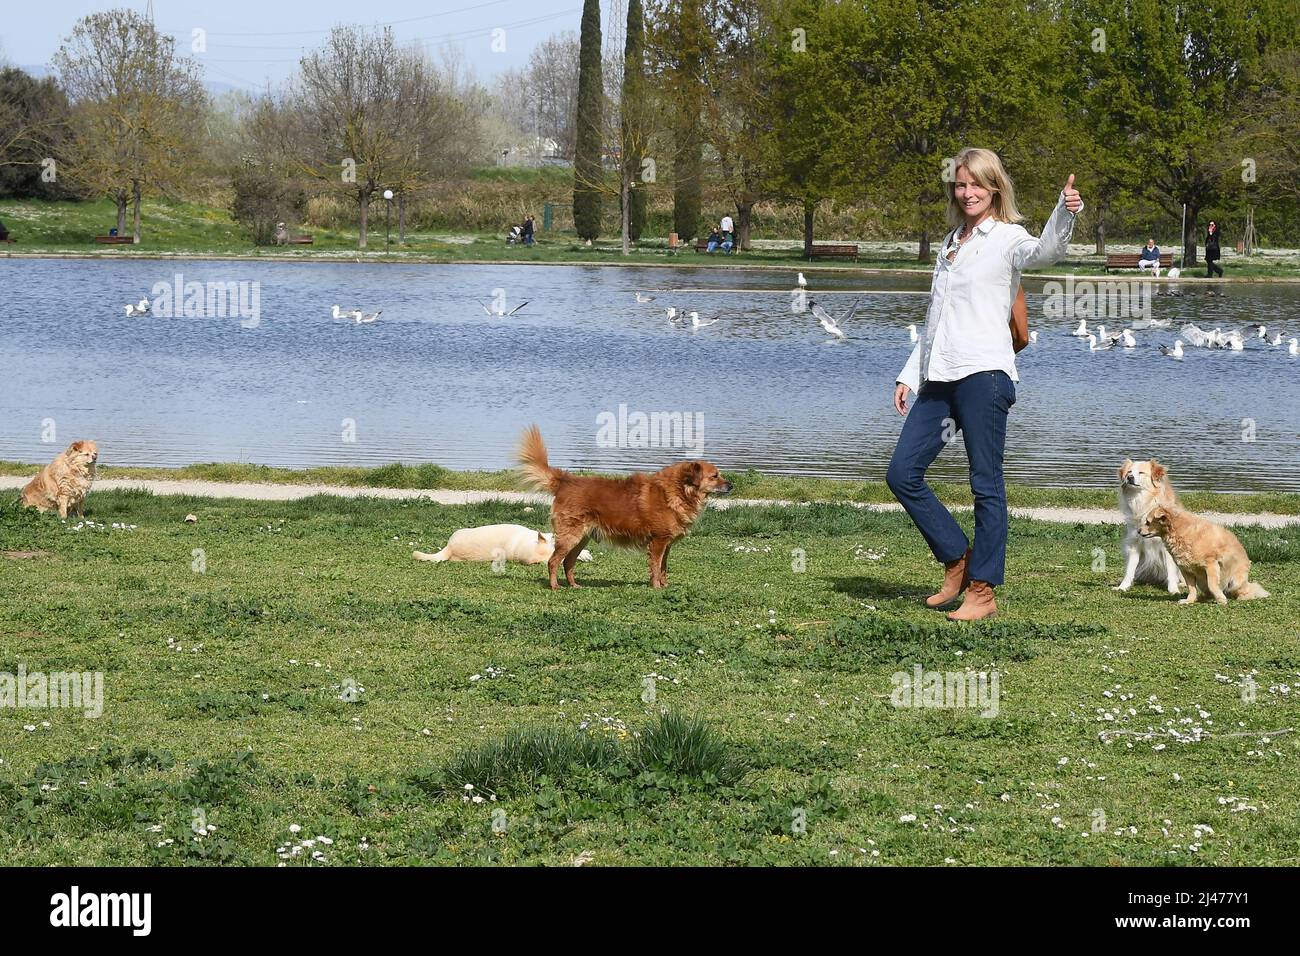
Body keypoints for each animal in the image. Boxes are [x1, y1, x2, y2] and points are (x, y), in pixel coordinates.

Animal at [514, 426, 733, 590]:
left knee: (568, 562)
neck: (679, 491)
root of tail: (566, 481)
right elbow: (655, 566)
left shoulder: (667, 544)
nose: (731, 485)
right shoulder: (658, 541)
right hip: (570, 536)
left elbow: (663, 567)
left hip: (582, 538)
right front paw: (656, 587)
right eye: (715, 476)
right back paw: (554, 586)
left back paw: (574, 585)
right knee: (553, 561)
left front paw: (664, 585)